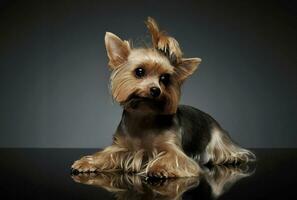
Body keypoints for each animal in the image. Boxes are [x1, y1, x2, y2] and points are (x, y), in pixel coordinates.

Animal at [71, 16, 254, 177]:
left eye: (165, 78)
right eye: (139, 71)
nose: (155, 90)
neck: (144, 116)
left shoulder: (174, 149)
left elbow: (173, 158)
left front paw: (159, 168)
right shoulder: (120, 146)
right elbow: (107, 154)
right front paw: (86, 163)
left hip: (218, 140)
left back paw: (234, 158)